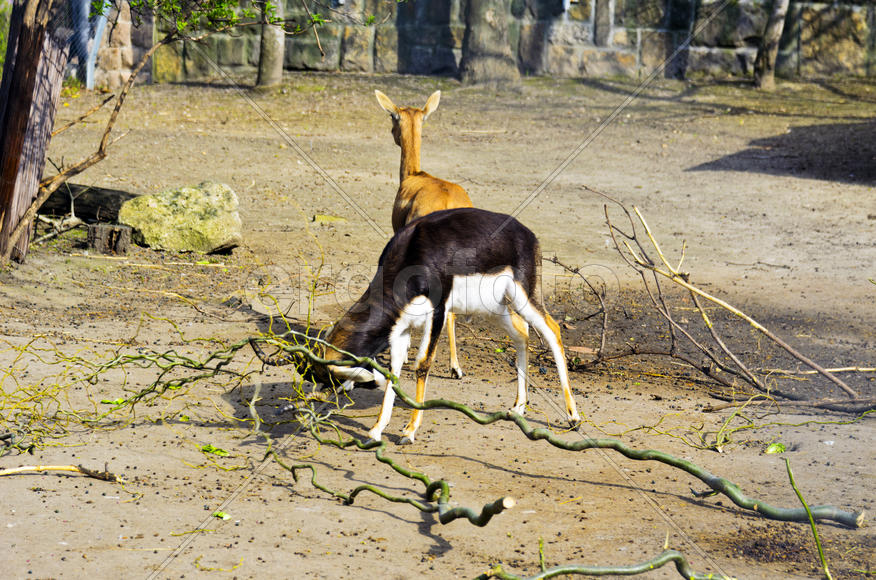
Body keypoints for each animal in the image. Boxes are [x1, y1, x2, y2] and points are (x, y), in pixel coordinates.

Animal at [290, 207, 581, 444]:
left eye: (331, 380)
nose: (317, 409)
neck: (412, 253)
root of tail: (528, 234)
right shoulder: (401, 326)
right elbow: (395, 371)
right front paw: (376, 429)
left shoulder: (438, 312)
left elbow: (422, 365)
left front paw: (408, 432)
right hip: (494, 308)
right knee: (522, 335)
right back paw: (519, 406)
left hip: (524, 296)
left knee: (552, 331)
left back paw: (573, 418)